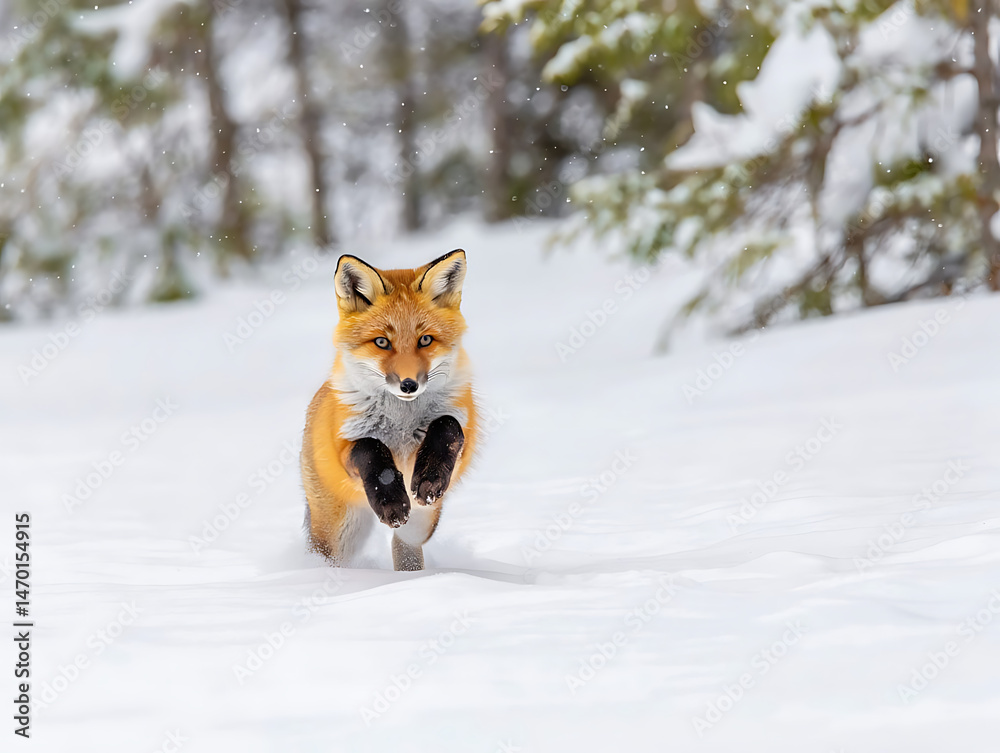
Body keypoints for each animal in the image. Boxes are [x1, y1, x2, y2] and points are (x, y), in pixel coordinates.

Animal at [300, 250, 477, 571]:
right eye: (382, 342)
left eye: (425, 340)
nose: (409, 385)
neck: (401, 420)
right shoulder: (345, 446)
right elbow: (370, 448)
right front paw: (391, 499)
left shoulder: (463, 438)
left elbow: (448, 425)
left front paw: (430, 475)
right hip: (339, 532)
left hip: (422, 521)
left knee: (403, 542)